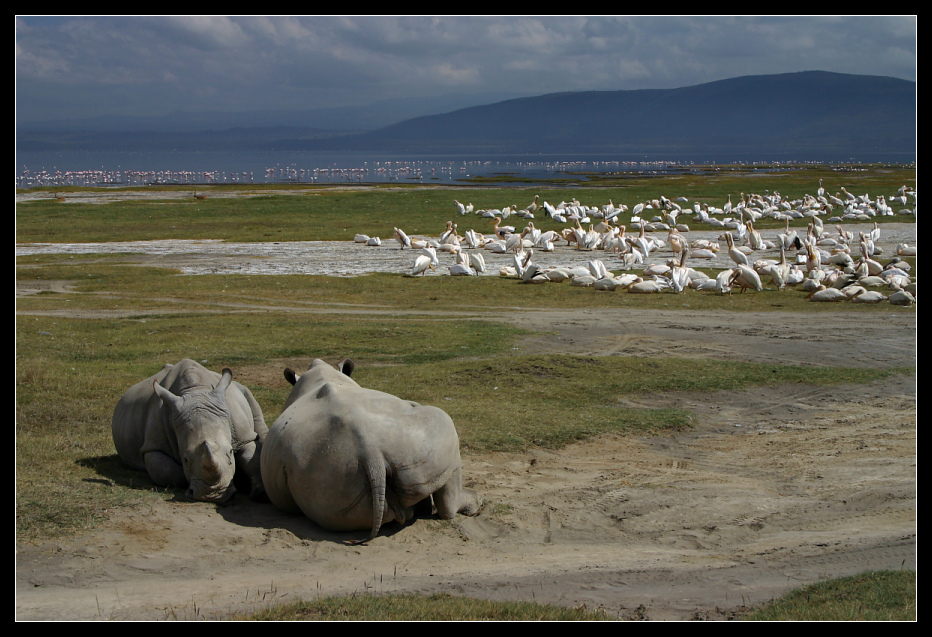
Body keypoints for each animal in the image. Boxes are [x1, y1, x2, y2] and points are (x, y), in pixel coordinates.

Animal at [112, 358, 270, 502]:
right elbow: (167, 472)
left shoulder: (243, 435)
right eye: (185, 459)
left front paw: (259, 492)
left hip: (240, 387)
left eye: (230, 452)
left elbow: (250, 458)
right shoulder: (154, 446)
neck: (196, 391)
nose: (213, 495)